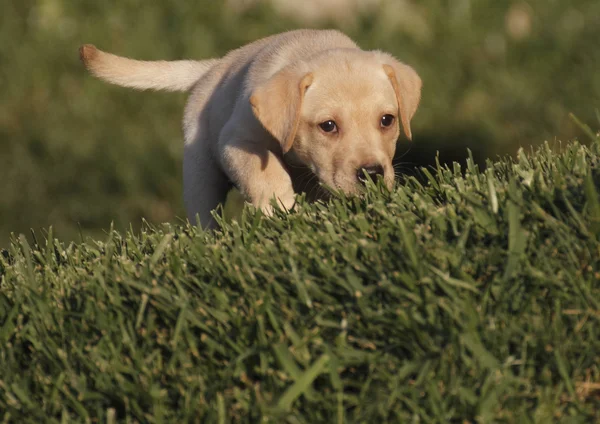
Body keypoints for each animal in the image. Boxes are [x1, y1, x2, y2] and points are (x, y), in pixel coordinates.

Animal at [79, 29, 420, 229]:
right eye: (328, 126)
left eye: (387, 120)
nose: (372, 174)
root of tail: (212, 67)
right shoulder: (238, 140)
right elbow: (266, 174)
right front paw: (279, 209)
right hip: (201, 172)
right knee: (203, 214)